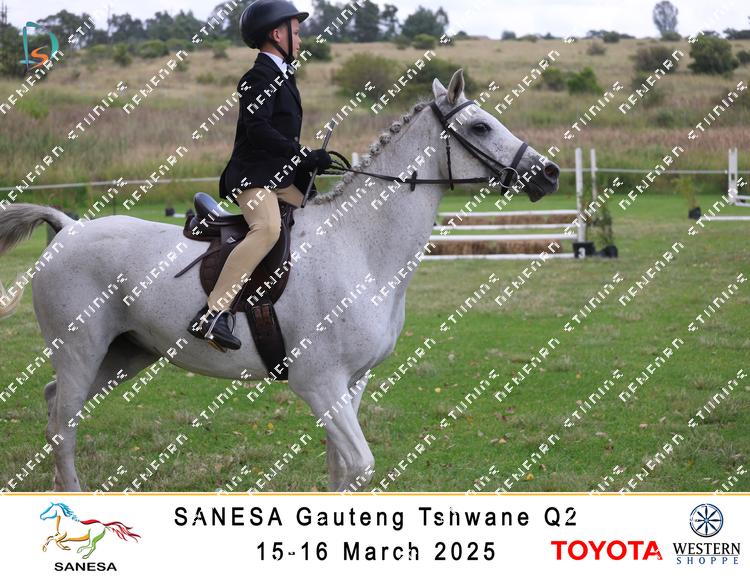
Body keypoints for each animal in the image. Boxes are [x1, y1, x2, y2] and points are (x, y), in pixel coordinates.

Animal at [0, 70, 559, 492]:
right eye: (482, 127)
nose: (549, 173)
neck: (361, 248)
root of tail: (69, 228)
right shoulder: (320, 383)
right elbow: (360, 466)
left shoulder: (351, 384)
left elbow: (341, 471)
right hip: (81, 348)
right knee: (64, 425)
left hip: (125, 353)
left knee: (55, 404)